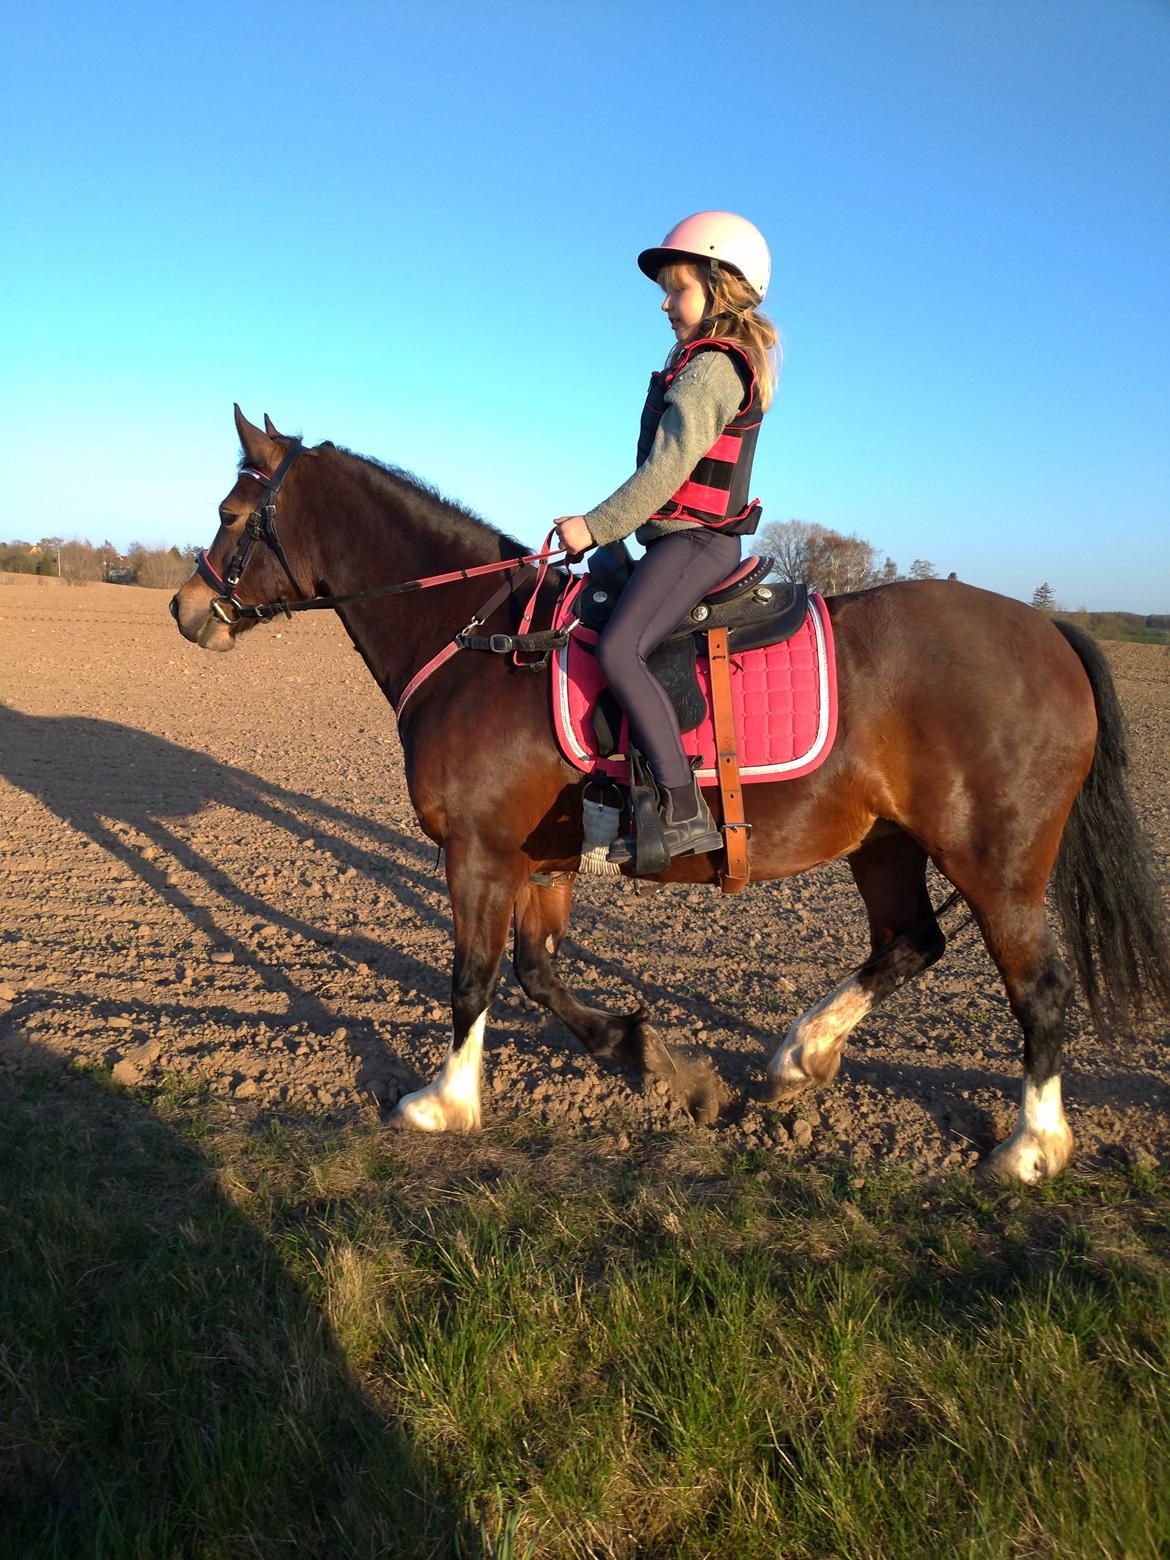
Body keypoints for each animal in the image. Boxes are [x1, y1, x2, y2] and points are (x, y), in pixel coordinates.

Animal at [171, 408, 1170, 1173]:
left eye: (229, 510)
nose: (184, 608)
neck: (481, 643)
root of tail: (1046, 629)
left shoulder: (480, 855)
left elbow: (472, 977)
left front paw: (444, 1102)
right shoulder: (543, 860)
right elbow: (537, 974)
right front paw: (649, 1060)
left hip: (996, 861)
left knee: (1038, 988)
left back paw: (1031, 1148)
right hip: (886, 842)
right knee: (910, 942)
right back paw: (796, 1058)